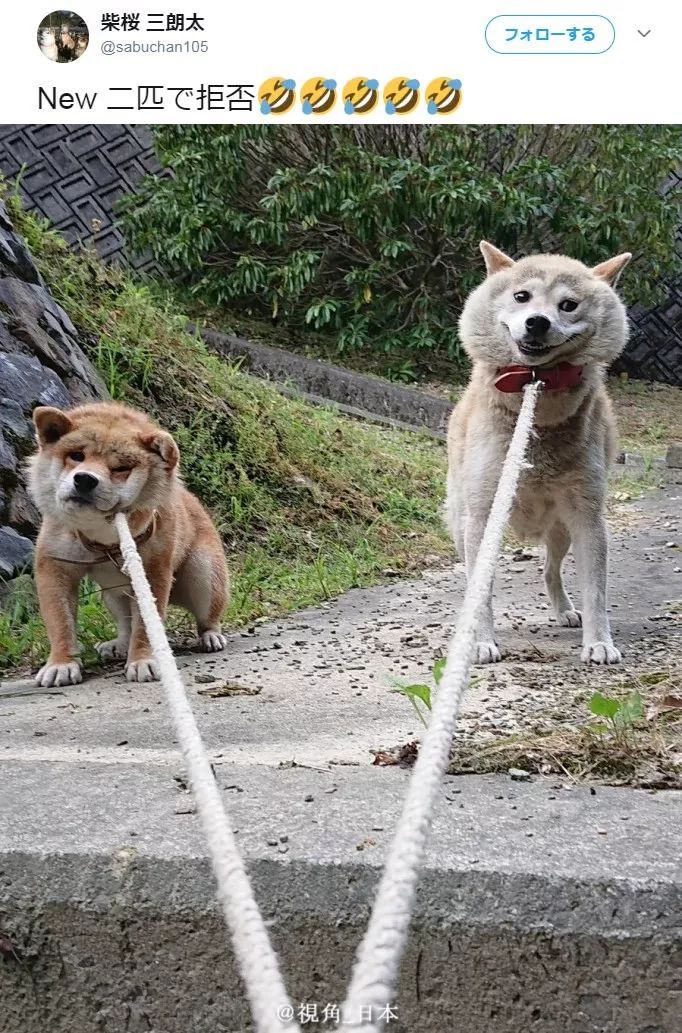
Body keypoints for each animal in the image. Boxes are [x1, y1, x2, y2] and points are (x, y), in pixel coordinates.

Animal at [28, 402, 230, 685]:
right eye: (77, 455)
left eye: (121, 468)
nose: (85, 479)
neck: (103, 538)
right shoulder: (55, 570)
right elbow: (61, 625)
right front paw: (61, 664)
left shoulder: (153, 574)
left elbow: (145, 627)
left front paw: (143, 660)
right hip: (114, 593)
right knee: (125, 623)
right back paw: (119, 644)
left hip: (203, 574)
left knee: (206, 616)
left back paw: (210, 636)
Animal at [444, 239, 632, 661]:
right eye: (521, 296)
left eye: (569, 305)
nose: (538, 322)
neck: (534, 384)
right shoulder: (483, 513)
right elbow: (482, 592)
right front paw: (480, 640)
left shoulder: (588, 517)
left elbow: (596, 591)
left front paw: (599, 643)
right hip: (463, 524)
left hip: (561, 531)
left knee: (550, 570)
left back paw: (565, 611)